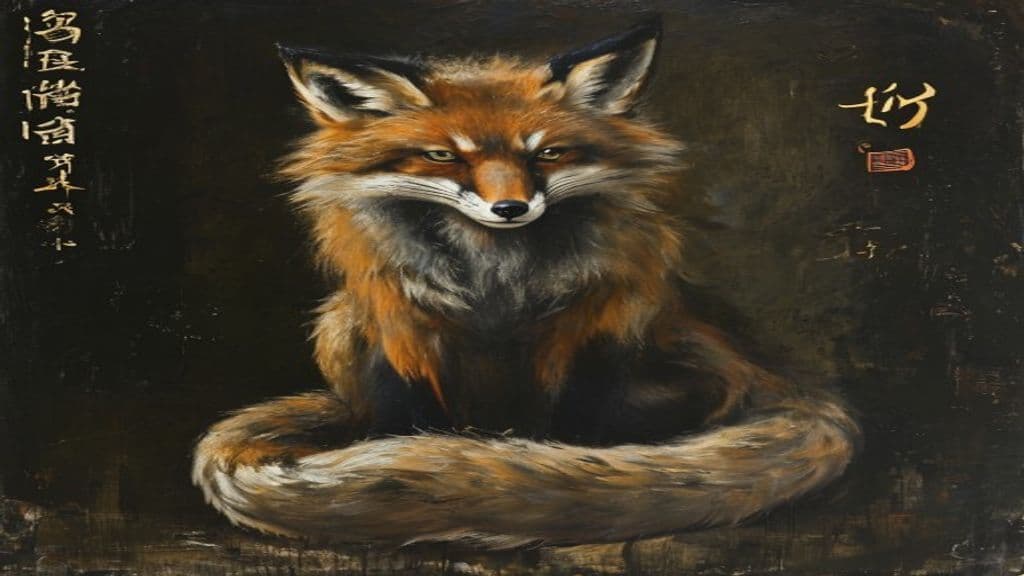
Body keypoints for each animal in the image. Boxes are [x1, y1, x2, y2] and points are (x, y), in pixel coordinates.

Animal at [192, 20, 860, 549]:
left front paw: (550, 467)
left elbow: (571, 430)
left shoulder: (591, 330)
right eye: (444, 156)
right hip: (338, 323)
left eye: (548, 154)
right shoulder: (400, 329)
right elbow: (403, 416)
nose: (510, 208)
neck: (495, 281)